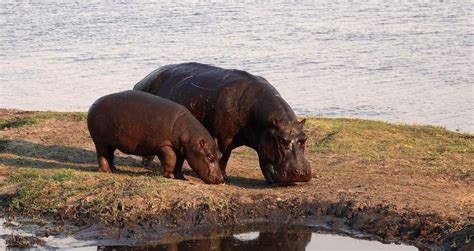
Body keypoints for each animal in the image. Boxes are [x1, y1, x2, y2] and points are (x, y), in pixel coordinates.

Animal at [87, 90, 226, 184]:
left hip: (111, 142)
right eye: (209, 156)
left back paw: (114, 169)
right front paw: (166, 175)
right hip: (100, 141)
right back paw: (107, 171)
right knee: (102, 155)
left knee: (110, 155)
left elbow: (179, 163)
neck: (189, 137)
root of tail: (94, 103)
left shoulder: (182, 149)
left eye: (220, 155)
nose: (220, 179)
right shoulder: (163, 145)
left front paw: (182, 178)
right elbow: (171, 158)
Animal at [133, 62, 312, 184]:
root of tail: (140, 82)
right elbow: (225, 155)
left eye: (304, 138)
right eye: (282, 140)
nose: (302, 173)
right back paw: (148, 164)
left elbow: (264, 161)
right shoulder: (225, 137)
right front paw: (225, 177)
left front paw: (270, 181)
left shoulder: (264, 140)